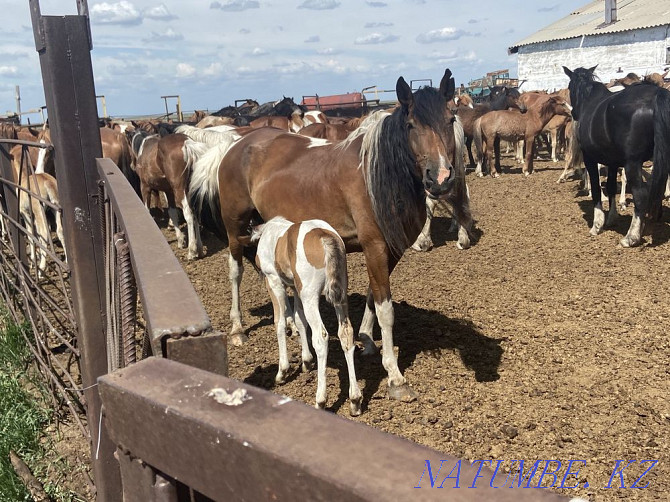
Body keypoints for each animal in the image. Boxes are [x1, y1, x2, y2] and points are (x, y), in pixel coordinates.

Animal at [252, 216, 362, 416]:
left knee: (321, 336)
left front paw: (282, 372)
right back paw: (355, 400)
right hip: (340, 292)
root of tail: (324, 236)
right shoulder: (295, 287)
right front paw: (306, 361)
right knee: (346, 333)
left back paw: (320, 400)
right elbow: (299, 320)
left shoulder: (274, 281)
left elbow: (280, 322)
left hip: (310, 294)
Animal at [564, 66, 668, 247]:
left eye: (570, 87)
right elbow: (611, 186)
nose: (574, 114)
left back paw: (631, 237)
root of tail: (656, 94)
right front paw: (612, 218)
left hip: (633, 163)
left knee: (641, 195)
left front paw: (597, 225)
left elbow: (597, 189)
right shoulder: (612, 162)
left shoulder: (590, 159)